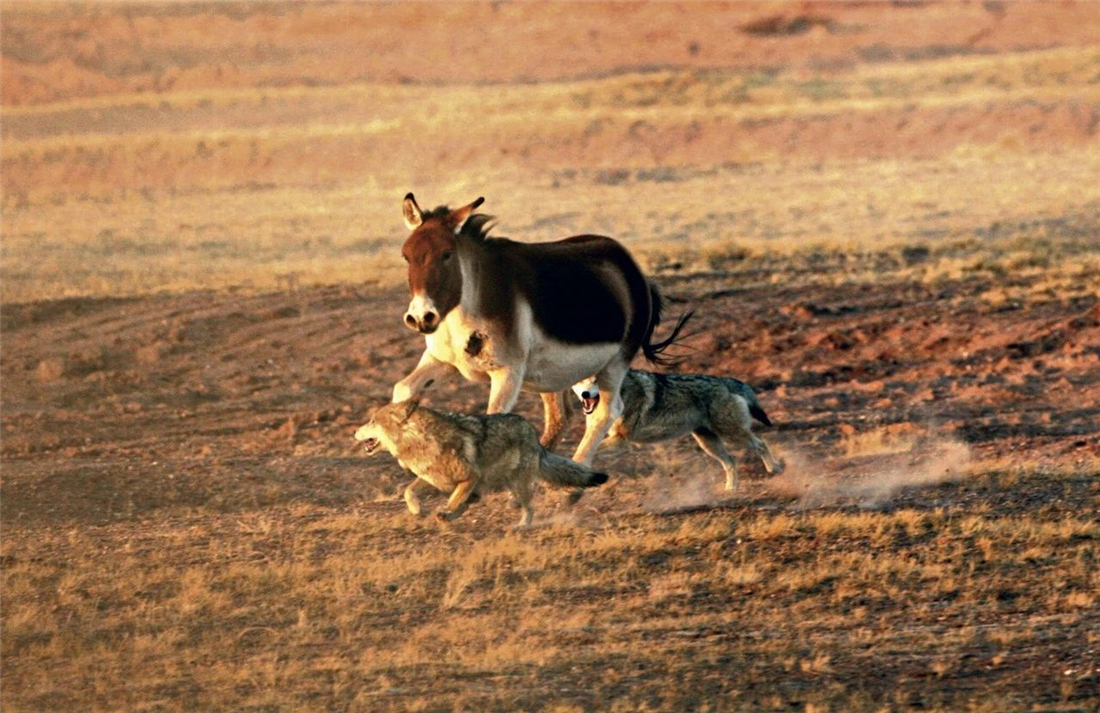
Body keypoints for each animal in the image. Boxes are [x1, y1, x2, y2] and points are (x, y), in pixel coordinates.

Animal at [354, 387, 607, 525]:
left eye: (372, 421)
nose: (354, 432)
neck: (419, 442)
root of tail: (535, 438)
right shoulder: (431, 477)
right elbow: (409, 491)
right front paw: (418, 510)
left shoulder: (470, 477)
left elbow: (455, 499)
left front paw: (446, 512)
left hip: (517, 484)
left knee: (529, 508)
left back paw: (521, 526)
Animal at [387, 192, 686, 464]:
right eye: (406, 256)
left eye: (447, 254)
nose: (420, 317)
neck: (473, 300)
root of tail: (635, 271)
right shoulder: (442, 361)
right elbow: (402, 390)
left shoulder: (507, 373)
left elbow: (493, 420)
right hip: (556, 376)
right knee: (560, 419)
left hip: (614, 364)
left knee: (605, 414)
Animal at [567, 367, 783, 495]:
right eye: (582, 382)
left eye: (595, 381)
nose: (585, 394)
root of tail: (727, 381)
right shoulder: (603, 435)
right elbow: (581, 450)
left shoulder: (621, 440)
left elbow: (583, 453)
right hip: (708, 443)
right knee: (731, 460)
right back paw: (730, 489)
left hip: (731, 435)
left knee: (761, 444)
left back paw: (774, 468)